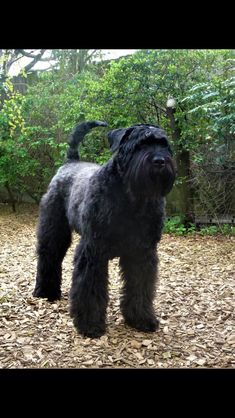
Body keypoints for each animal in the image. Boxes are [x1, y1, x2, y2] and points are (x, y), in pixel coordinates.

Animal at [33, 120, 176, 336]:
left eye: (165, 145)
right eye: (139, 144)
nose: (160, 160)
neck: (132, 199)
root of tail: (70, 163)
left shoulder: (142, 253)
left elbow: (140, 286)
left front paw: (141, 318)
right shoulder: (93, 251)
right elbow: (90, 289)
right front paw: (90, 324)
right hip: (54, 230)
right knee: (49, 256)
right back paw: (45, 292)